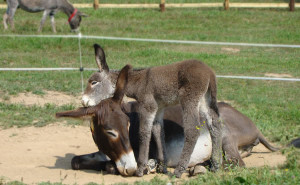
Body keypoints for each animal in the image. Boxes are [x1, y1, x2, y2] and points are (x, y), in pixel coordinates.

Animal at [82, 43, 223, 178]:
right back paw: (216, 166)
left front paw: (140, 169)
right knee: (215, 126)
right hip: (204, 100)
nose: (83, 101)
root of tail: (209, 72)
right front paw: (162, 167)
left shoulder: (147, 106)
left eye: (94, 82)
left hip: (189, 99)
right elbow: (158, 132)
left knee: (192, 130)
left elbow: (144, 133)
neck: (139, 82)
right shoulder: (158, 108)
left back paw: (179, 170)